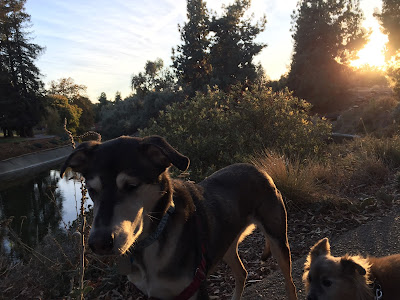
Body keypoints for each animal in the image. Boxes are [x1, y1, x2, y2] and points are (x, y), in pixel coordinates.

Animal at [60, 136, 296, 300]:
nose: (99, 244)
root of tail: (257, 168)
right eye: (92, 190)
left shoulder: (194, 290)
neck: (154, 237)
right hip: (226, 243)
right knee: (242, 273)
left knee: (289, 282)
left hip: (278, 239)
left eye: (131, 186)